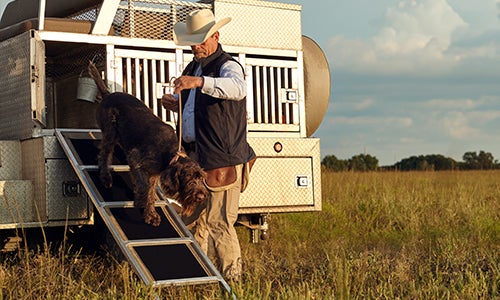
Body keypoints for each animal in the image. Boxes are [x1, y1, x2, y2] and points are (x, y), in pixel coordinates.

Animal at [88, 61, 207, 225]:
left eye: (201, 178)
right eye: (188, 176)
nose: (201, 197)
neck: (169, 152)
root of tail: (107, 94)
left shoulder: (154, 173)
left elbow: (150, 191)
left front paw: (150, 212)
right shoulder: (135, 159)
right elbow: (143, 186)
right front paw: (141, 202)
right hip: (110, 132)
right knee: (104, 154)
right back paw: (106, 177)